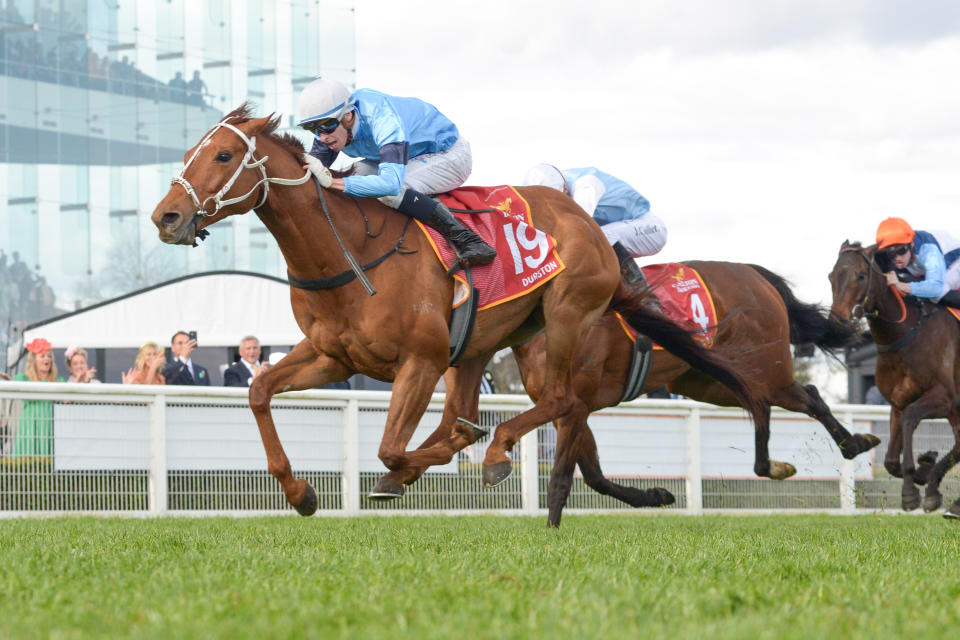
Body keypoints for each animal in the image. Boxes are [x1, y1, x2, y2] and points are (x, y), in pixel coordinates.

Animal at [150, 106, 764, 516]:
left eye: (224, 155)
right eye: (188, 154)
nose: (166, 216)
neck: (348, 250)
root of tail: (582, 218)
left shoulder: (419, 361)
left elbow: (392, 449)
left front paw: (427, 465)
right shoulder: (333, 356)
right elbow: (258, 391)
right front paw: (301, 493)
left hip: (566, 316)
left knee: (560, 401)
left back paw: (497, 451)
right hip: (482, 345)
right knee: (479, 414)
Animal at [512, 260, 880, 524]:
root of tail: (752, 272)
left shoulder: (575, 404)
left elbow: (563, 477)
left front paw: (551, 533)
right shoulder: (569, 410)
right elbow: (594, 476)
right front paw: (656, 496)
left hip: (766, 368)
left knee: (804, 397)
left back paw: (853, 444)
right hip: (709, 379)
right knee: (765, 402)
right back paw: (788, 461)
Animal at [824, 242, 960, 516]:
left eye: (861, 276)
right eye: (831, 276)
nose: (838, 321)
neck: (906, 335)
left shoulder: (945, 399)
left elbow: (910, 417)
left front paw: (911, 492)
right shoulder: (897, 402)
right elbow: (889, 461)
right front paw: (924, 469)